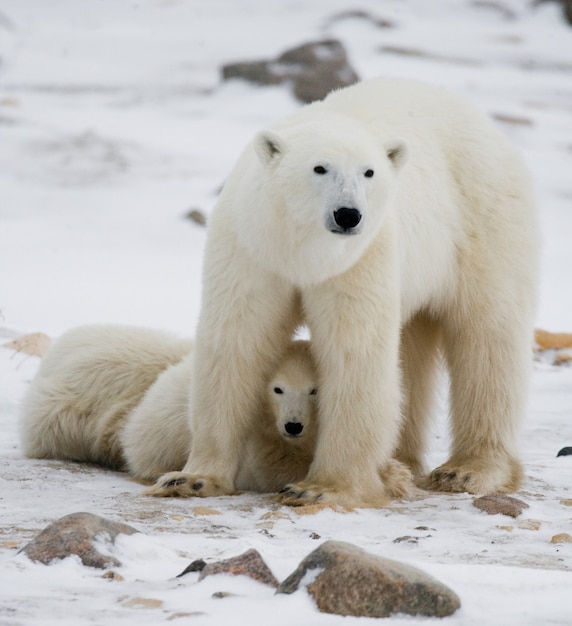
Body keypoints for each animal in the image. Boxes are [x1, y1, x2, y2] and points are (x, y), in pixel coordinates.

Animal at [155, 77, 536, 508]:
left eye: (369, 172)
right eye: (319, 168)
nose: (348, 214)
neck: (304, 253)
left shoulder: (360, 259)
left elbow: (353, 351)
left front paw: (319, 487)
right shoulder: (253, 250)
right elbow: (236, 339)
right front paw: (192, 478)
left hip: (483, 221)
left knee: (486, 339)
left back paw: (467, 469)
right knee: (413, 349)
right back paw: (399, 463)